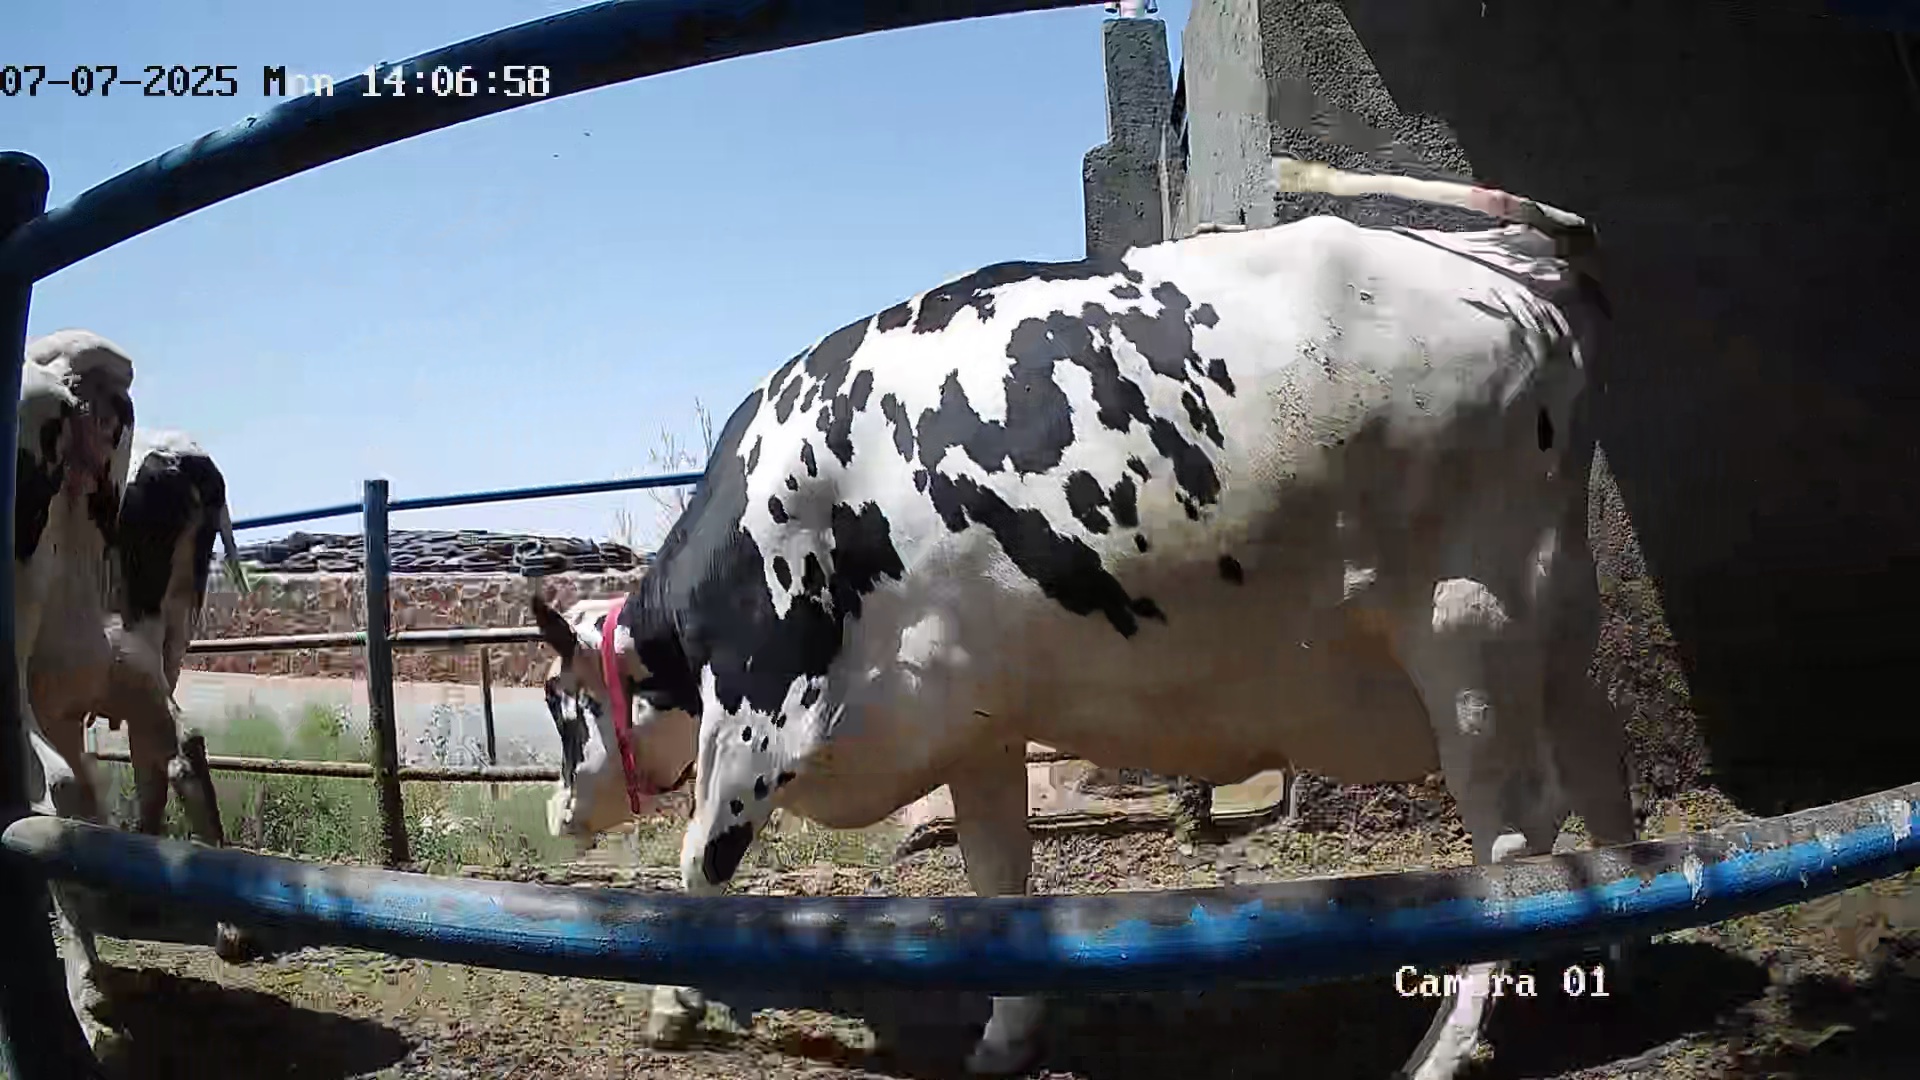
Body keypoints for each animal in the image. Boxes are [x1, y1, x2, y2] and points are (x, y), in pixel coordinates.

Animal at [529, 161, 1633, 1080]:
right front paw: (1006, 1035)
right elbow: (999, 883)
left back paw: (1444, 1049)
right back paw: (1616, 944)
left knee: (1511, 842)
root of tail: (1521, 261)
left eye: (557, 703)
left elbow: (697, 869)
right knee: (1598, 769)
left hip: (1466, 628)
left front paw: (674, 1005)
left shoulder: (761, 710)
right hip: (1553, 621)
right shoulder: (970, 722)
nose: (557, 814)